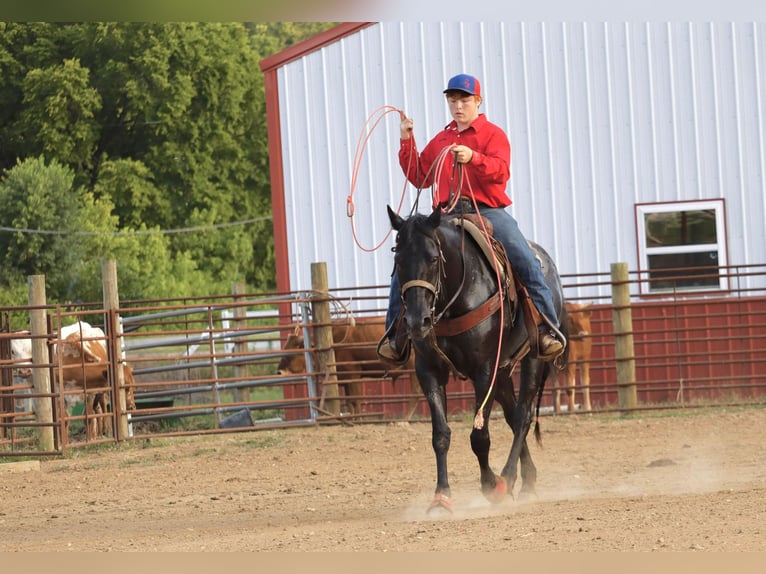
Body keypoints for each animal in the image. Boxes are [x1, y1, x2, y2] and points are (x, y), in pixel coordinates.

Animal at [276, 318, 424, 420]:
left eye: (291, 353)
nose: (279, 371)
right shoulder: (346, 378)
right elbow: (349, 402)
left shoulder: (353, 374)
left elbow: (355, 400)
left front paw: (358, 420)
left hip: (413, 367)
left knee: (416, 392)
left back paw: (404, 419)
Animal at [390, 206, 568, 512]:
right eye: (398, 260)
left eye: (433, 258)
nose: (416, 321)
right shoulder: (429, 370)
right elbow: (440, 435)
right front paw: (441, 497)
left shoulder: (484, 369)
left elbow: (479, 437)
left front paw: (491, 486)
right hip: (504, 369)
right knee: (512, 415)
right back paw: (528, 480)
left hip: (532, 358)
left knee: (522, 416)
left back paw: (510, 479)